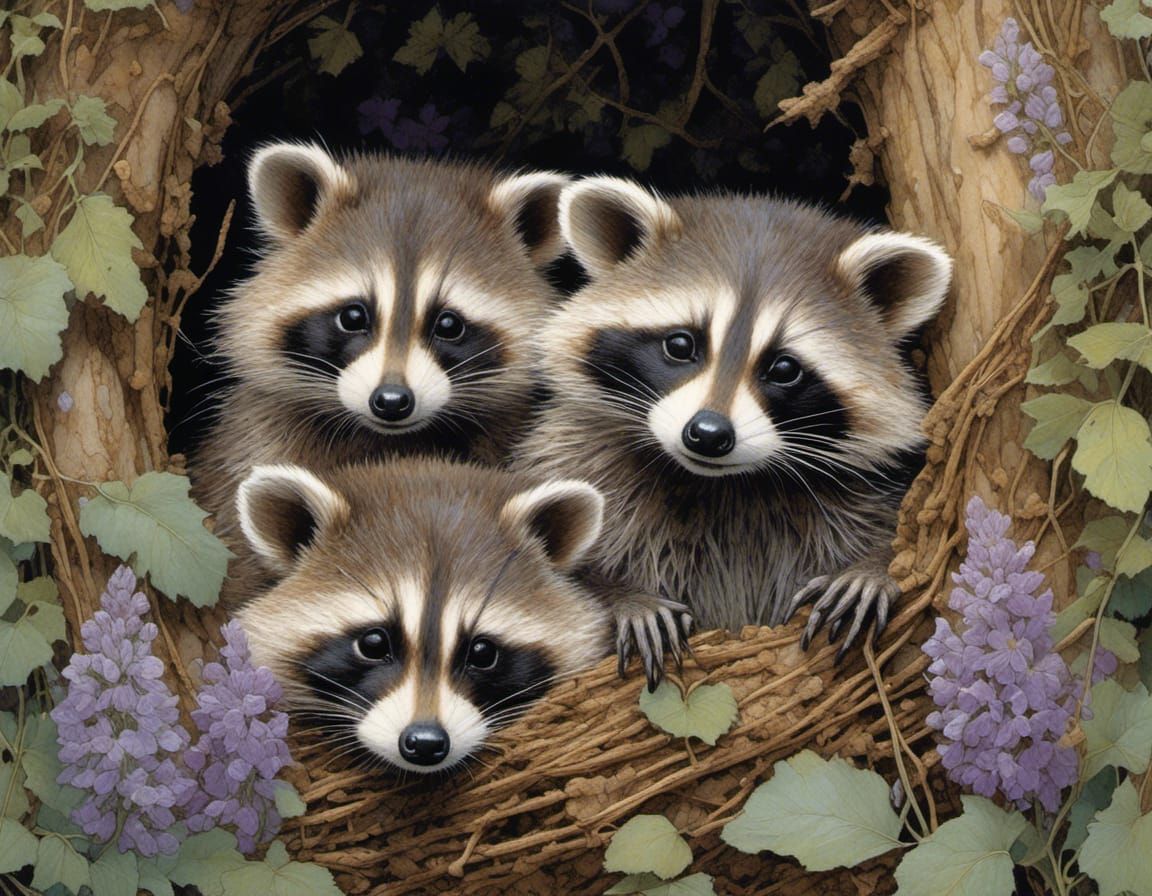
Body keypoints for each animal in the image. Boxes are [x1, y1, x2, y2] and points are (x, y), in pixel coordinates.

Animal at [517, 177, 952, 682]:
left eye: (783, 368)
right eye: (680, 344)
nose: (707, 434)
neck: (722, 484)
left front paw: (873, 568)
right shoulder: (576, 453)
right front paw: (625, 597)